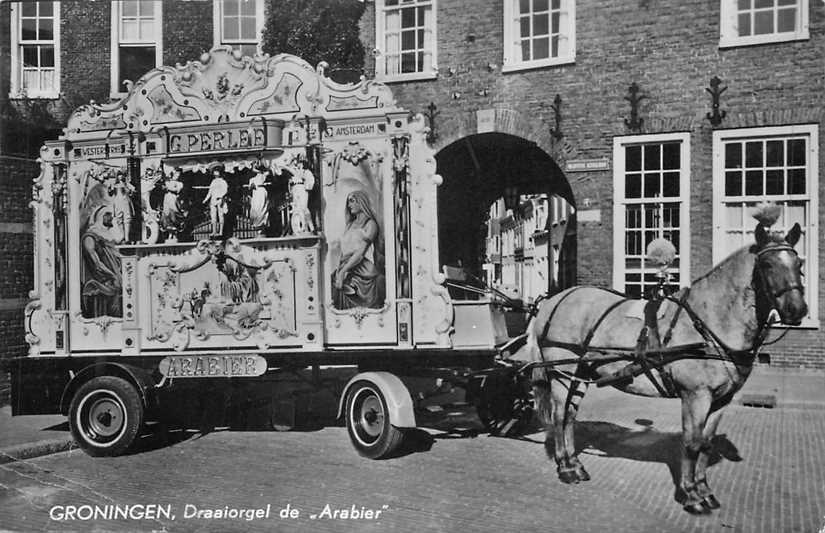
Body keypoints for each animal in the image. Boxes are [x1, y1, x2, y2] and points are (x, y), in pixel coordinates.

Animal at [516, 219, 804, 512]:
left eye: (799, 262)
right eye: (766, 264)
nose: (798, 310)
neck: (708, 319)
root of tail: (553, 300)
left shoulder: (722, 399)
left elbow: (706, 444)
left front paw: (704, 490)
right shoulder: (695, 396)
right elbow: (691, 443)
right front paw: (691, 495)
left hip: (580, 372)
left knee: (570, 417)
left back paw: (575, 464)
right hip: (561, 372)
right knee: (559, 416)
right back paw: (566, 468)